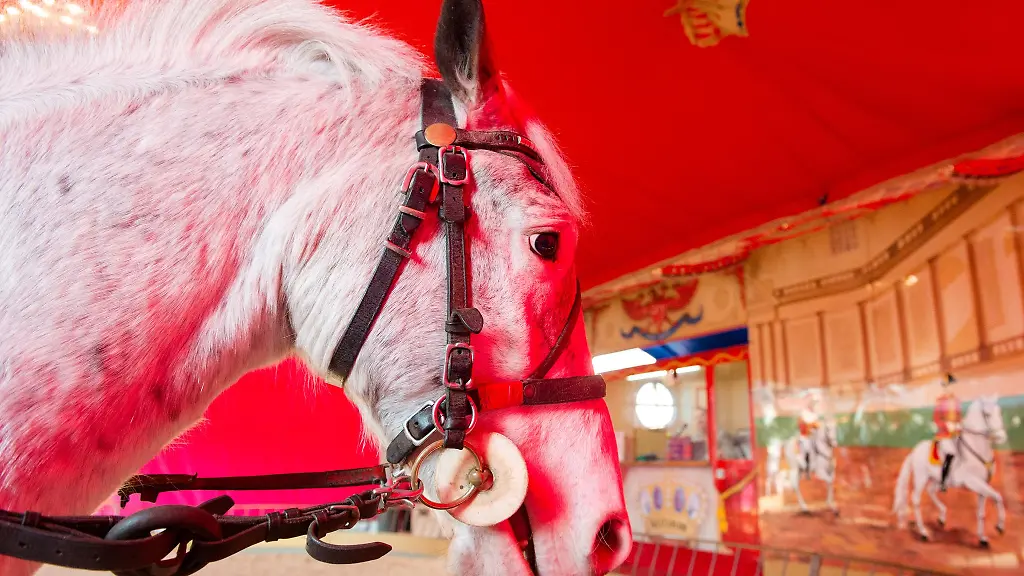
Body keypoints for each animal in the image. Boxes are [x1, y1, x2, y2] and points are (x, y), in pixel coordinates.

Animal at [892, 396, 1008, 547]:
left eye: (999, 412)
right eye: (987, 414)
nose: (1002, 437)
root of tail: (915, 450)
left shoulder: (982, 485)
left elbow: (982, 512)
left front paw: (982, 538)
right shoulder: (973, 482)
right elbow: (998, 496)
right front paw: (999, 527)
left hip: (936, 479)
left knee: (931, 491)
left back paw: (941, 517)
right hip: (921, 477)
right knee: (916, 499)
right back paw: (923, 533)